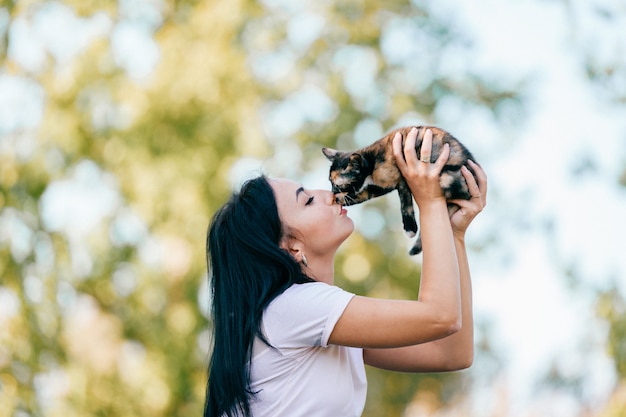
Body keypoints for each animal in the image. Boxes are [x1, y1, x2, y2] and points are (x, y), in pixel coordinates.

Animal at [320, 124, 476, 254]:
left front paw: (410, 228)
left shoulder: (401, 178)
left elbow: (405, 203)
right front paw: (340, 199)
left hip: (449, 177)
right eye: (330, 183)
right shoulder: (379, 186)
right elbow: (362, 195)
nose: (332, 193)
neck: (371, 162)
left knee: (461, 193)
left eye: (338, 185)